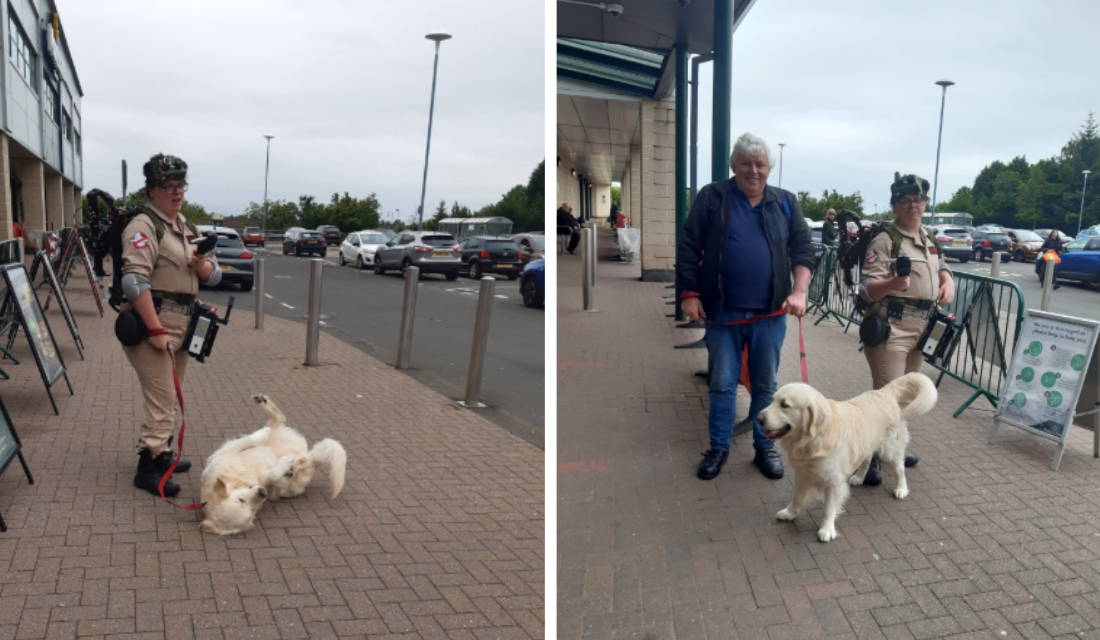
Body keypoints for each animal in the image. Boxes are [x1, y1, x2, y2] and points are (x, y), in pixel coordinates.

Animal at [200, 395, 345, 536]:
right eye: (251, 512)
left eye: (241, 499)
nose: (262, 492)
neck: (236, 477)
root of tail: (310, 457)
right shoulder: (268, 483)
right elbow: (274, 475)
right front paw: (285, 464)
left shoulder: (225, 452)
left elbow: (250, 439)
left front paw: (262, 434)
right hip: (295, 480)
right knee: (285, 428)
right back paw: (293, 465)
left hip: (273, 437)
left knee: (278, 418)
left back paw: (262, 403)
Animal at [756, 373, 937, 545]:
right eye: (772, 400)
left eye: (785, 405)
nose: (758, 418)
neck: (815, 439)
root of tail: (885, 391)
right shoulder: (802, 474)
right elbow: (797, 498)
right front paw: (789, 513)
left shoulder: (833, 482)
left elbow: (828, 509)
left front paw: (827, 530)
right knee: (867, 459)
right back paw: (859, 478)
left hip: (889, 449)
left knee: (900, 468)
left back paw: (901, 488)